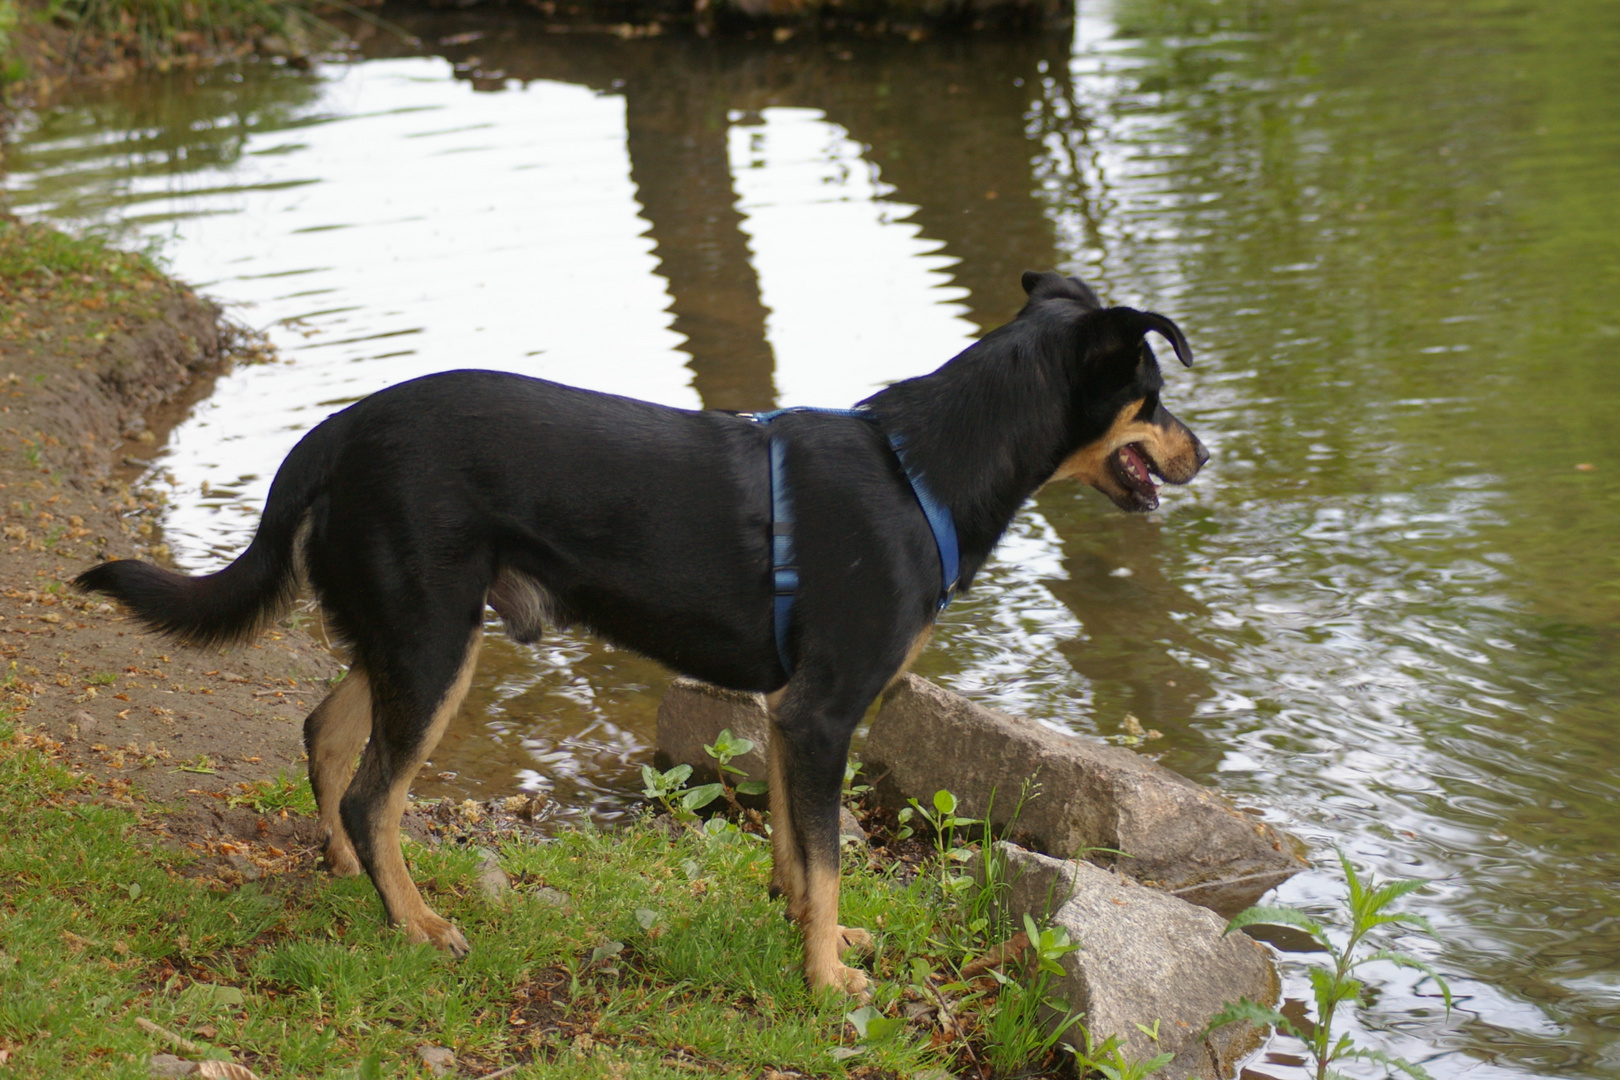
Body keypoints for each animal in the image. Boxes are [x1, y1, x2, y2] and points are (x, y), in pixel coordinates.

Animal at [82, 270, 1211, 997]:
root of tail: (337, 430)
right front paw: (827, 984)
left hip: (410, 634)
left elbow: (797, 854)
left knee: (324, 736)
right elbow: (830, 859)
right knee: (372, 796)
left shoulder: (785, 713)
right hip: (433, 642)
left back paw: (353, 883)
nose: (1203, 452)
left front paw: (810, 939)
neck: (921, 470)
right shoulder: (826, 713)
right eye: (1153, 399)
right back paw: (418, 926)